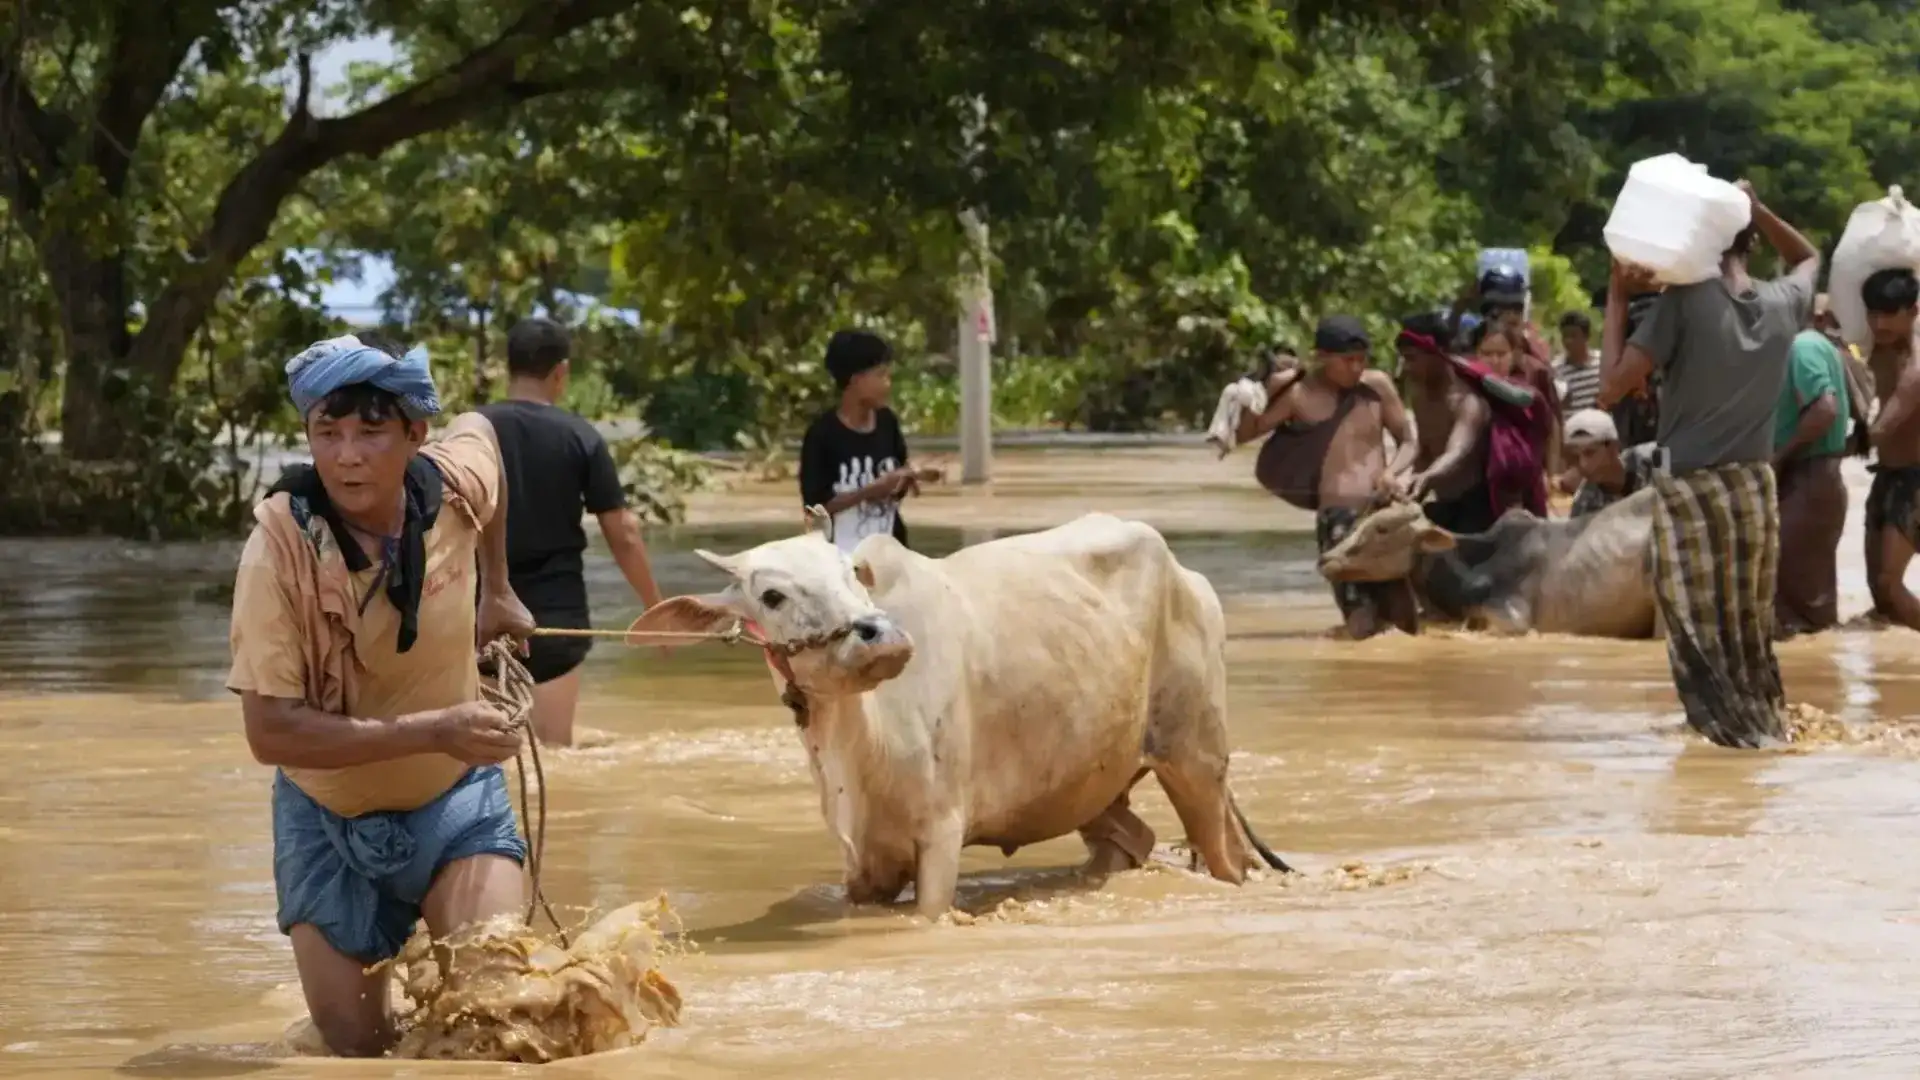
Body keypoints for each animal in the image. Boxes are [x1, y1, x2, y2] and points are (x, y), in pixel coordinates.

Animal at [629, 507, 1290, 910]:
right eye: (771, 595)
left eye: (851, 573)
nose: (881, 637)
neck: (859, 747)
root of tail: (1187, 575)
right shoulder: (861, 866)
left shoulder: (940, 838)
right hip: (1093, 781)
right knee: (1135, 838)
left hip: (1195, 761)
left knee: (1224, 857)